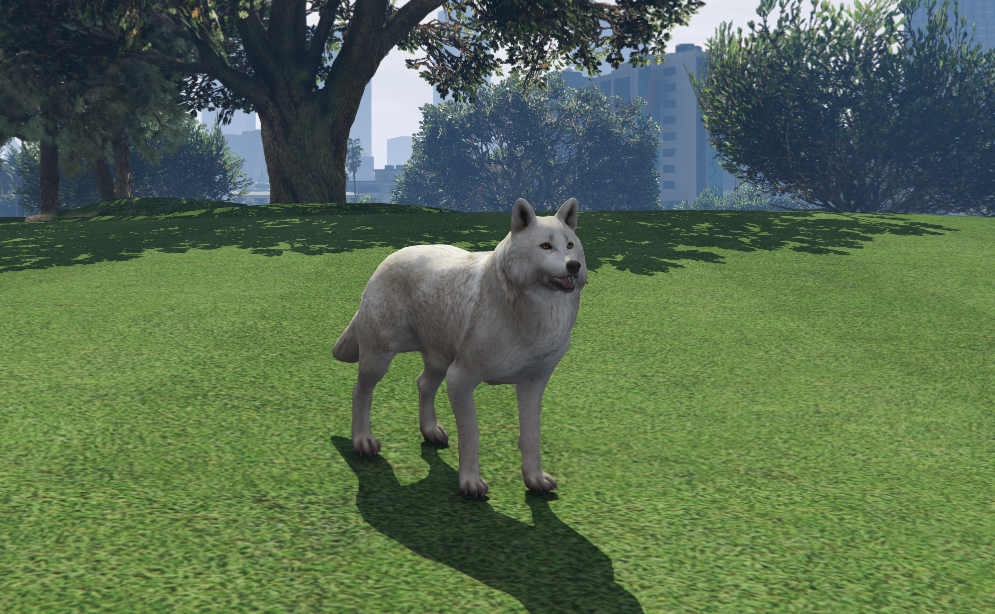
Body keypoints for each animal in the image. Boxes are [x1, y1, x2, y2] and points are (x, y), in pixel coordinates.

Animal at [332, 198, 587, 497]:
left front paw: (534, 478)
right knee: (360, 391)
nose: (574, 266)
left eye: (569, 245)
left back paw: (430, 430)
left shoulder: (533, 384)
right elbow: (471, 435)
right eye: (546, 246)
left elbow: (531, 436)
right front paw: (470, 483)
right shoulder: (460, 380)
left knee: (422, 384)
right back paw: (362, 440)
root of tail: (388, 258)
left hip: (439, 360)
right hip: (379, 359)